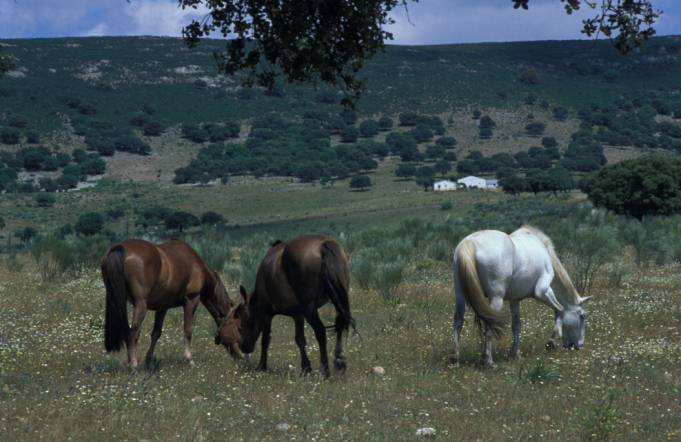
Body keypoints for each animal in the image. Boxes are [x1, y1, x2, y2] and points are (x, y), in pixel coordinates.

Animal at [101, 238, 236, 369]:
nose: (237, 356)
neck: (196, 264)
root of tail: (120, 248)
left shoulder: (162, 308)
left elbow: (156, 333)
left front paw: (149, 360)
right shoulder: (191, 300)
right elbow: (188, 330)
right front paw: (189, 359)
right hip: (141, 305)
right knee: (132, 333)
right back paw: (133, 365)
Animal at [216, 235, 354, 377]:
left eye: (239, 322)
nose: (244, 347)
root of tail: (324, 245)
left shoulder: (267, 313)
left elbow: (265, 339)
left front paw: (262, 366)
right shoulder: (298, 315)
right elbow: (300, 339)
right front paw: (306, 368)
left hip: (310, 308)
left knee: (320, 331)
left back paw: (325, 370)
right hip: (338, 301)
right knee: (341, 326)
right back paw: (339, 364)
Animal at [450, 225, 591, 368]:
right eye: (582, 316)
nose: (579, 345)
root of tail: (470, 242)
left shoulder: (515, 300)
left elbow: (516, 325)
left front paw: (515, 354)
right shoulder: (543, 291)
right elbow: (560, 310)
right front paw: (551, 342)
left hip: (460, 295)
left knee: (458, 322)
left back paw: (455, 360)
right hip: (496, 298)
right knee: (489, 325)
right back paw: (488, 361)